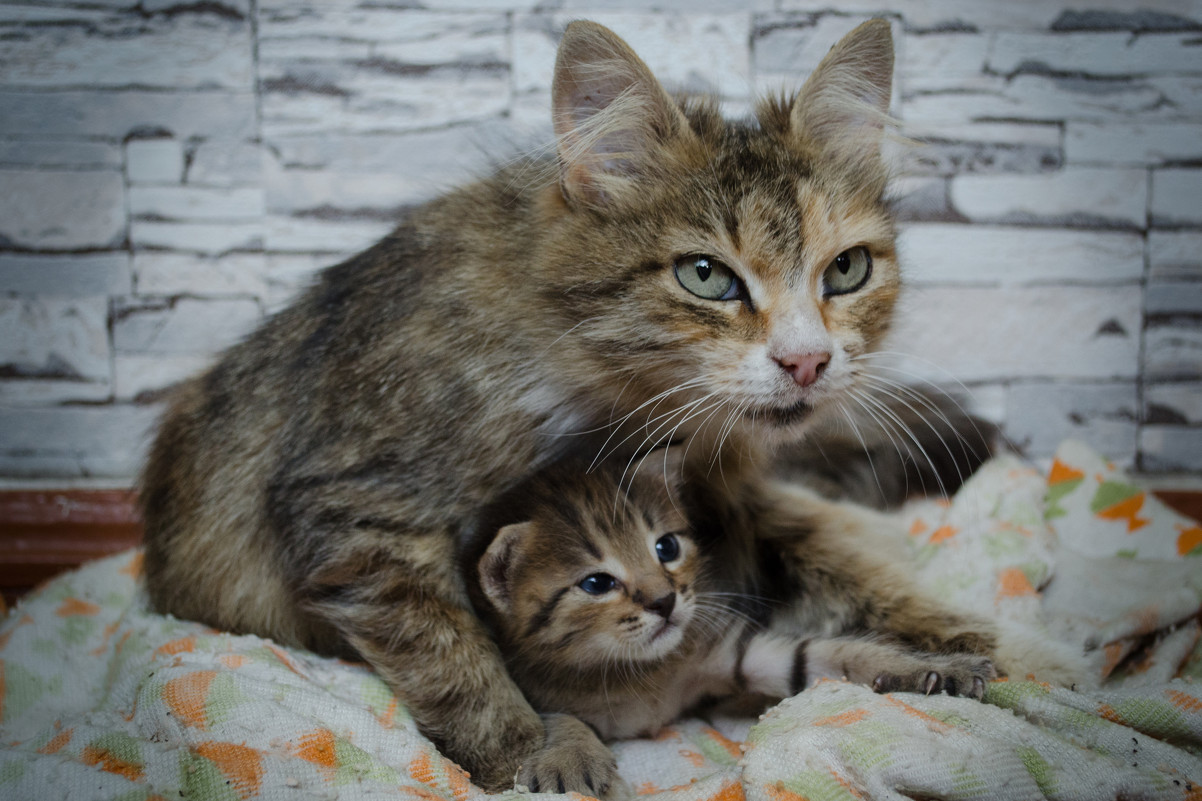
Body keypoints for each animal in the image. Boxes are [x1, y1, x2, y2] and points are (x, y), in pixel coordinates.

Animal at [140, 18, 1043, 793]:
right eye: (706, 276)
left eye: (848, 269)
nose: (809, 361)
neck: (605, 392)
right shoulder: (355, 509)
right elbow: (457, 659)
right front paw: (533, 750)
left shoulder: (729, 504)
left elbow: (853, 579)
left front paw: (995, 653)